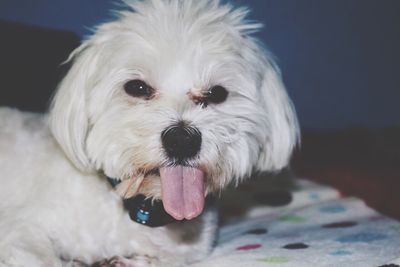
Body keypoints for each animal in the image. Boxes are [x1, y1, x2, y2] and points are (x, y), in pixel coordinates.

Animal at [0, 0, 296, 267]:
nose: (182, 140)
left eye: (217, 93)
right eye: (137, 87)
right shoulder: (21, 230)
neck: (143, 210)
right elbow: (42, 257)